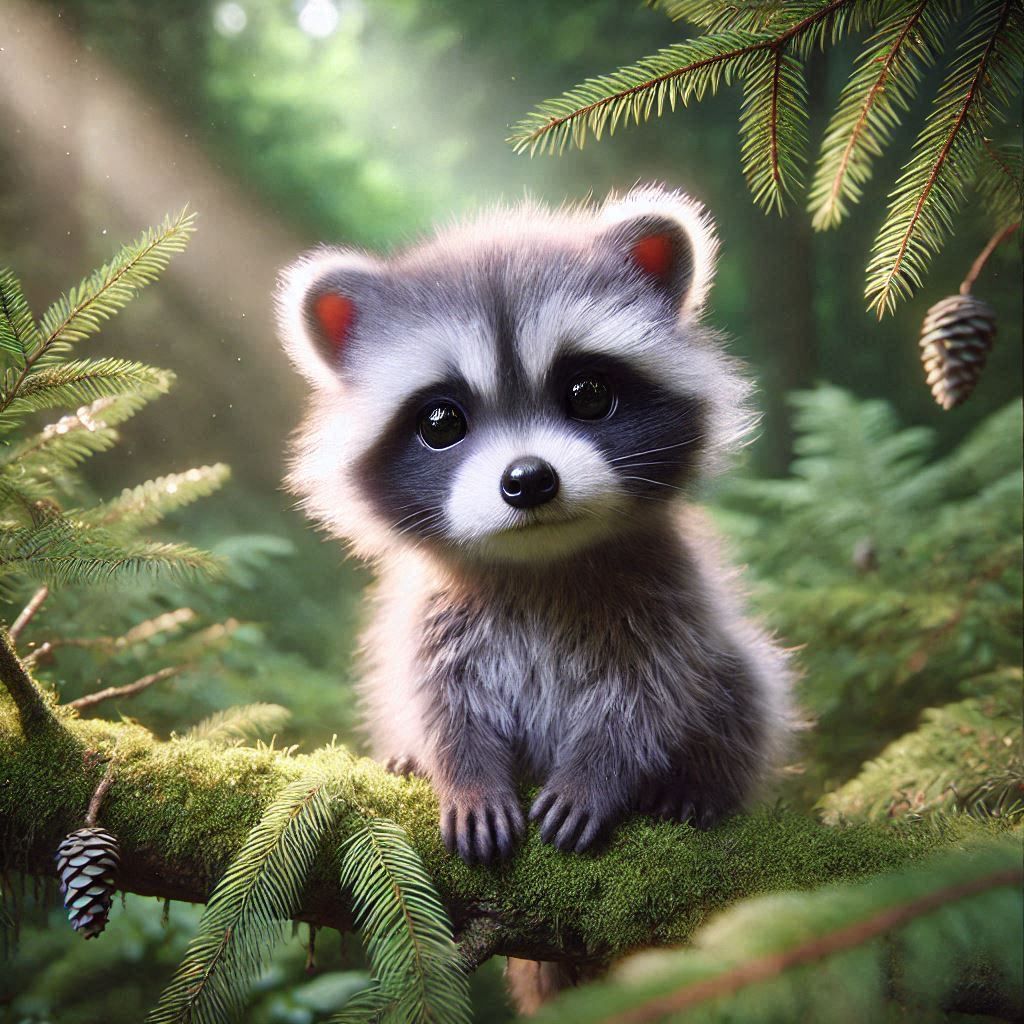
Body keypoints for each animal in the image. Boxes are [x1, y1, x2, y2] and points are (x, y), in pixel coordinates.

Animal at [276, 185, 792, 869]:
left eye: (589, 394)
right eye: (441, 423)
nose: (528, 479)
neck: (539, 560)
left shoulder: (667, 596)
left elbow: (651, 696)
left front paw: (598, 774)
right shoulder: (431, 615)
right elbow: (440, 700)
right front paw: (465, 775)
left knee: (743, 681)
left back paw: (701, 785)